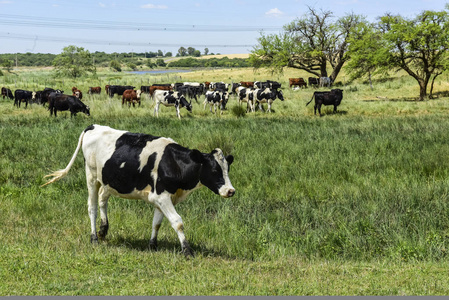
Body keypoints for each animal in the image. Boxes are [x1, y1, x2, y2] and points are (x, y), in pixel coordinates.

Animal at [41, 124, 234, 258]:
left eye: (227, 169)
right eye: (214, 170)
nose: (230, 191)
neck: (172, 162)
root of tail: (93, 126)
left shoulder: (160, 198)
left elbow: (156, 223)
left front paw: (152, 246)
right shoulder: (162, 196)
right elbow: (177, 222)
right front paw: (187, 251)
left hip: (108, 181)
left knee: (103, 200)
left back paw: (104, 230)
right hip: (91, 177)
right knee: (92, 207)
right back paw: (94, 237)